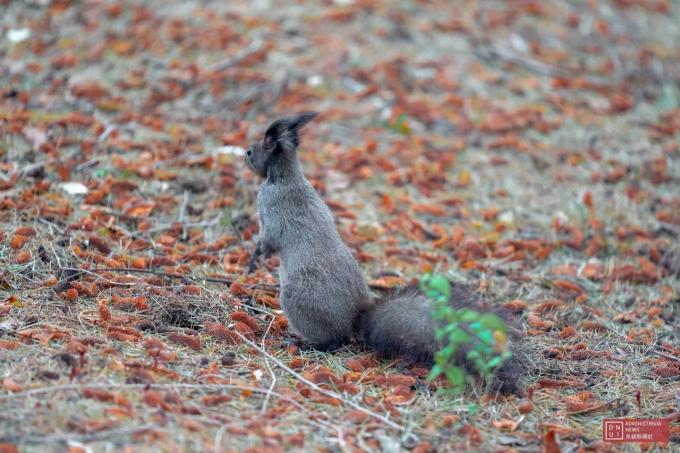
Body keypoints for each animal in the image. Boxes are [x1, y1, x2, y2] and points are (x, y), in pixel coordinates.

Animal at [244, 112, 524, 392]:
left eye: (251, 151)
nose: (244, 154)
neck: (285, 176)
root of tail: (354, 320)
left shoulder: (271, 210)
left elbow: (267, 241)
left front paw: (254, 260)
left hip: (299, 301)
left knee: (333, 341)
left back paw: (305, 343)